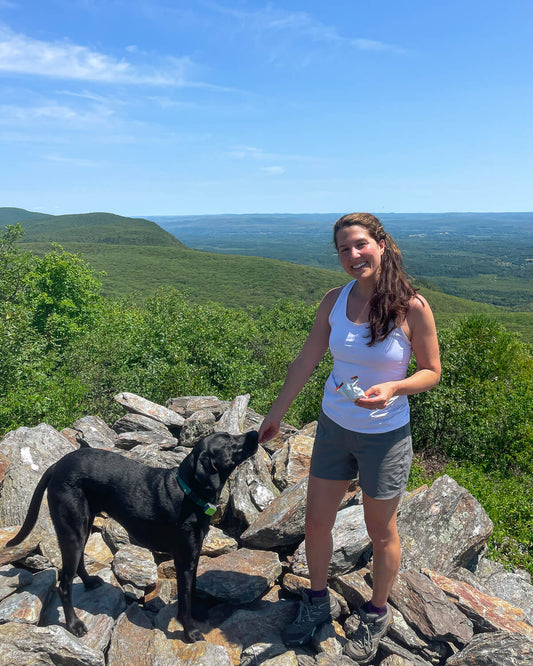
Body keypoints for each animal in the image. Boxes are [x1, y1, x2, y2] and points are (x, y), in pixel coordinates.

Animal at [6, 428, 258, 640]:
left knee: (77, 565)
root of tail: (56, 466)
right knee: (64, 584)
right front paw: (190, 632)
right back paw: (74, 625)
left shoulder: (194, 554)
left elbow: (192, 589)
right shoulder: (184, 557)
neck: (189, 492)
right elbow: (184, 598)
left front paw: (197, 615)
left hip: (83, 526)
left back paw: (89, 582)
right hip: (72, 529)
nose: (255, 432)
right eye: (230, 442)